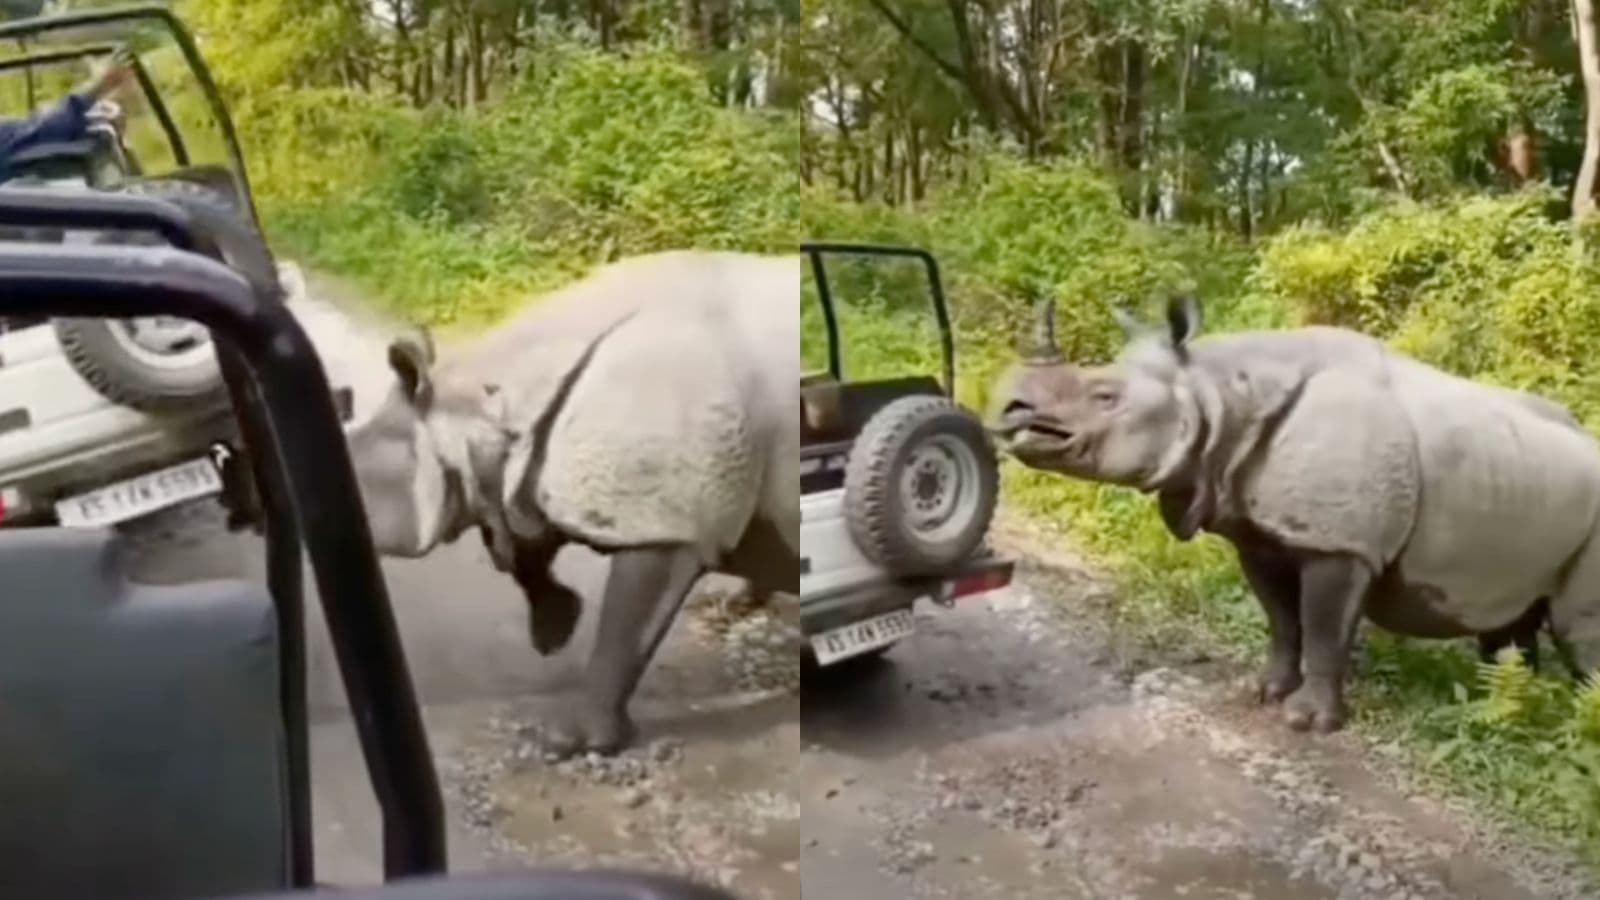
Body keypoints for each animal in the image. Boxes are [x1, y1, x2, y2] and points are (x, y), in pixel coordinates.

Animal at [344, 250, 799, 757]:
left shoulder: (663, 522)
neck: (482, 405)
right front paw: (556, 625)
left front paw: (571, 741)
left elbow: (624, 629)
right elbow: (524, 547)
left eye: (358, 476)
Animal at [986, 295, 1600, 733]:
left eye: (1105, 397)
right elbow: (1282, 620)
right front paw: (1264, 692)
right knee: (1511, 624)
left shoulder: (1339, 544)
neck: (1217, 392)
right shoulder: (1257, 534)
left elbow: (1324, 628)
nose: (1011, 408)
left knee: (1577, 631)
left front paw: (1307, 721)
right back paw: (1501, 704)